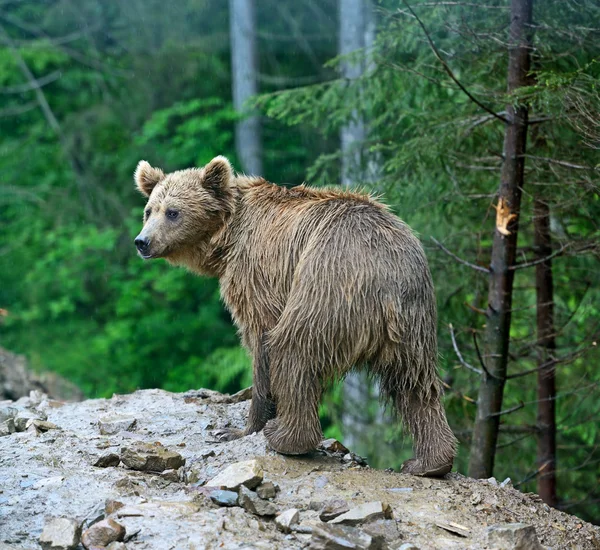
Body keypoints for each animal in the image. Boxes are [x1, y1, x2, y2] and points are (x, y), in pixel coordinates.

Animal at [134, 157, 458, 476]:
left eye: (173, 212)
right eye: (149, 210)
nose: (142, 241)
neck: (227, 238)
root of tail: (384, 271)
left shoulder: (257, 272)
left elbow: (261, 341)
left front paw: (239, 429)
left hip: (325, 285)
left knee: (294, 349)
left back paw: (287, 438)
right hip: (413, 314)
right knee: (414, 380)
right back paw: (429, 463)